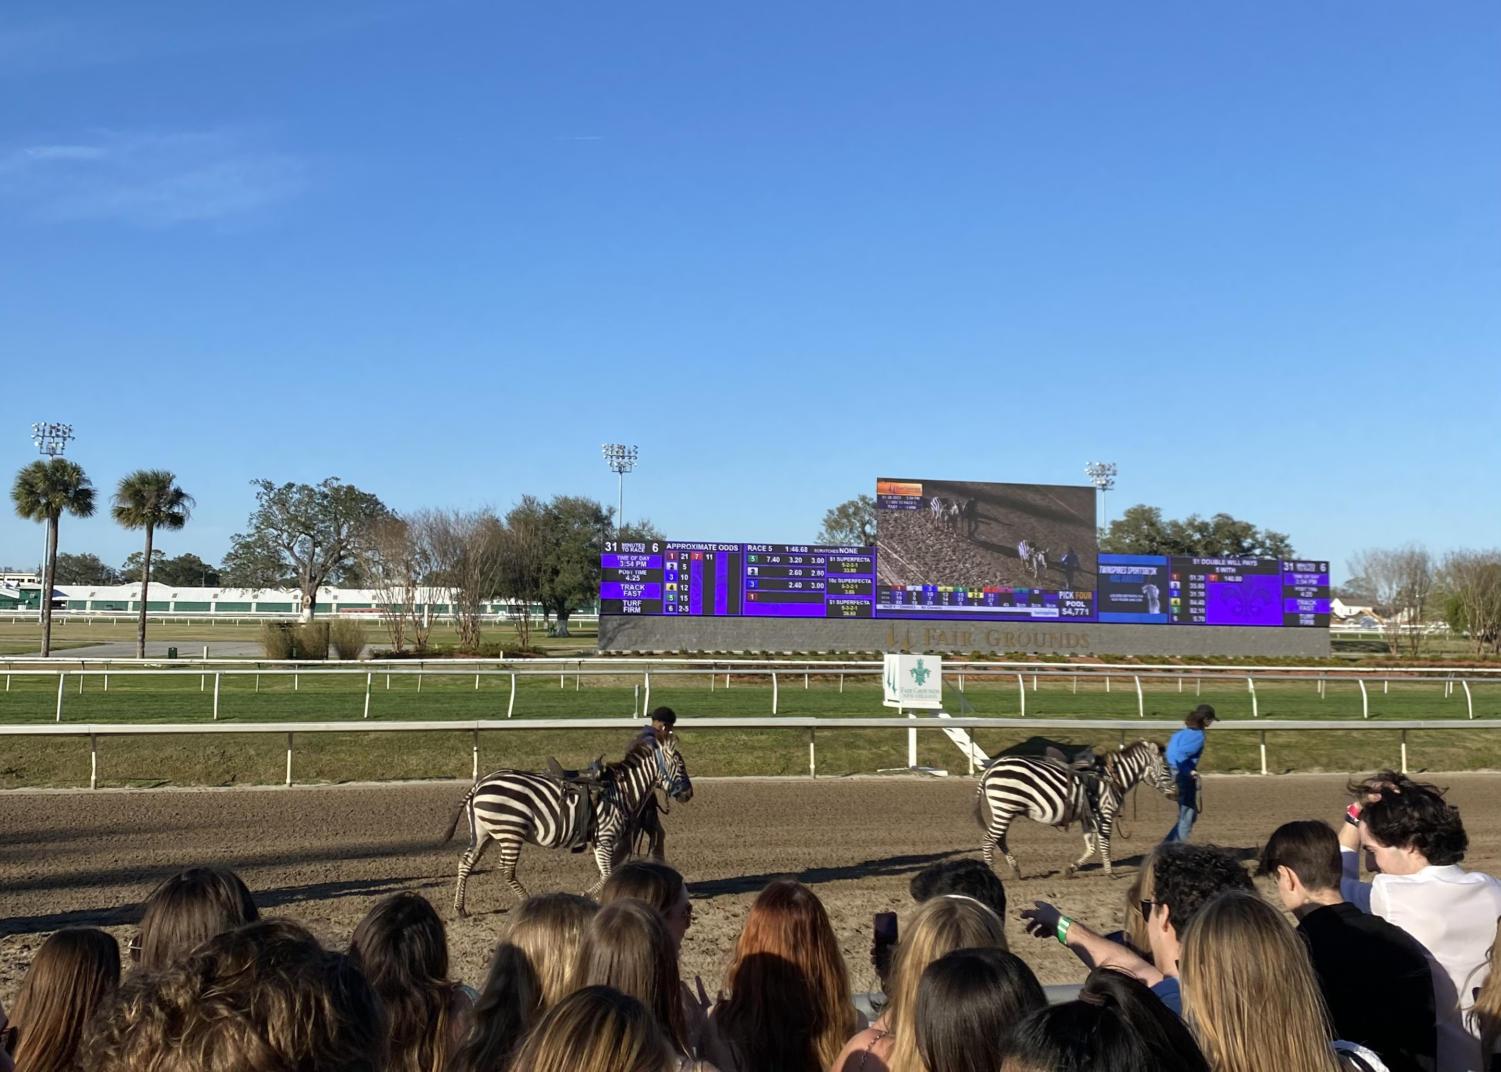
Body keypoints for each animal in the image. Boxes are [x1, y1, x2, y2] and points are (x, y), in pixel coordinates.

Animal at [438, 729, 687, 912]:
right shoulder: (605, 837)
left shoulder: (605, 840)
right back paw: (526, 900)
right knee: (506, 869)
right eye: (682, 766)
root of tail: (481, 783)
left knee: (466, 862)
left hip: (484, 832)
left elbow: (610, 872)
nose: (689, 793)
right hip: (510, 832)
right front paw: (587, 896)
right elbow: (607, 874)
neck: (620, 791)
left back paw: (460, 908)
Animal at [978, 735, 1176, 876]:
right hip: (1005, 810)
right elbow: (1105, 844)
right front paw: (1110, 873)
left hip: (1006, 811)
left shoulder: (1088, 818)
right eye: (1167, 768)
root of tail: (993, 767)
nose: (1176, 794)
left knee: (999, 839)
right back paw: (992, 873)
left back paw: (1016, 869)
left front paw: (1071, 869)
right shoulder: (1105, 814)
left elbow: (1092, 847)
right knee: (988, 840)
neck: (1112, 778)